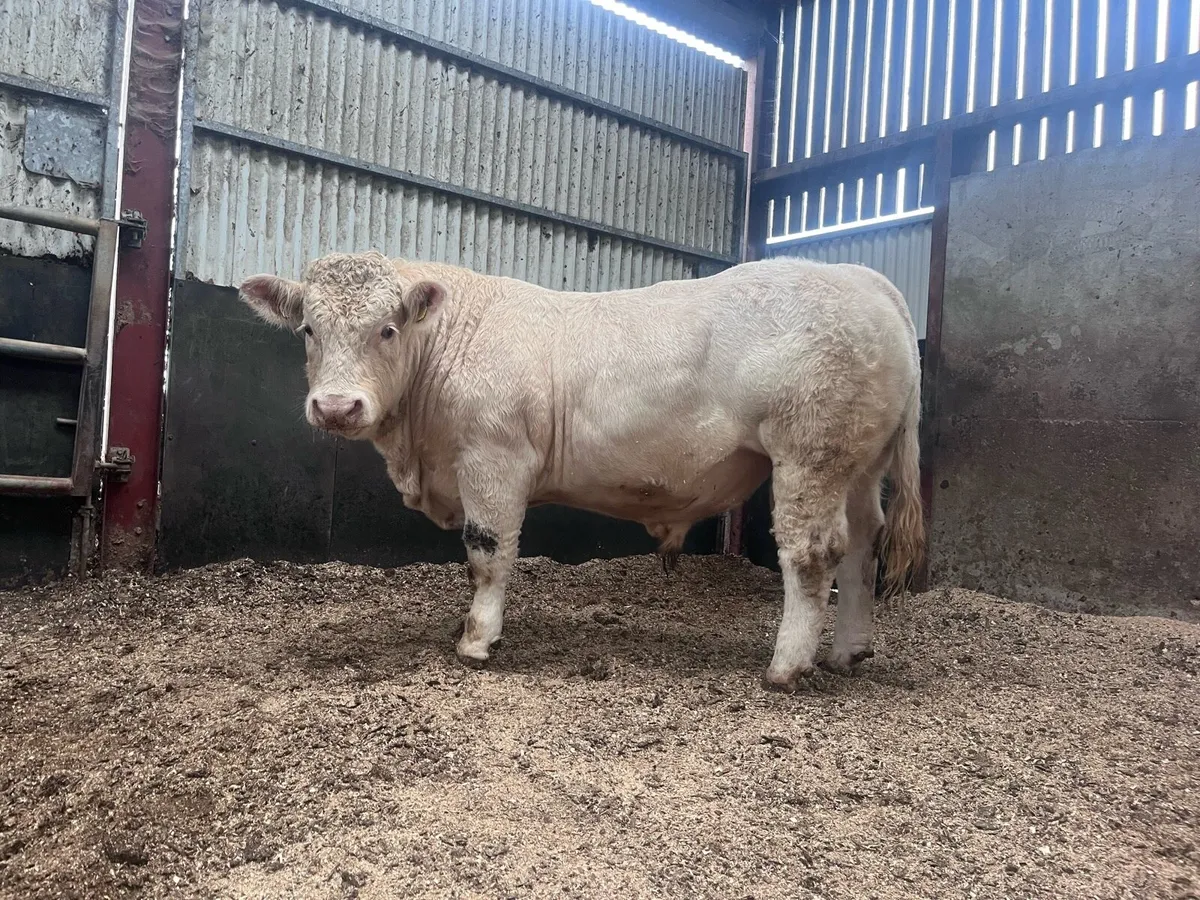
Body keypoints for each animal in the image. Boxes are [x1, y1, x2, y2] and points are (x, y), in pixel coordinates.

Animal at [238, 251, 924, 691]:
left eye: (386, 328)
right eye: (308, 329)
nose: (336, 407)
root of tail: (862, 279)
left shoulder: (493, 458)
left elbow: (487, 553)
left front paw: (477, 640)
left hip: (810, 452)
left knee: (813, 552)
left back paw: (787, 667)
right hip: (859, 464)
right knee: (862, 544)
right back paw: (848, 651)